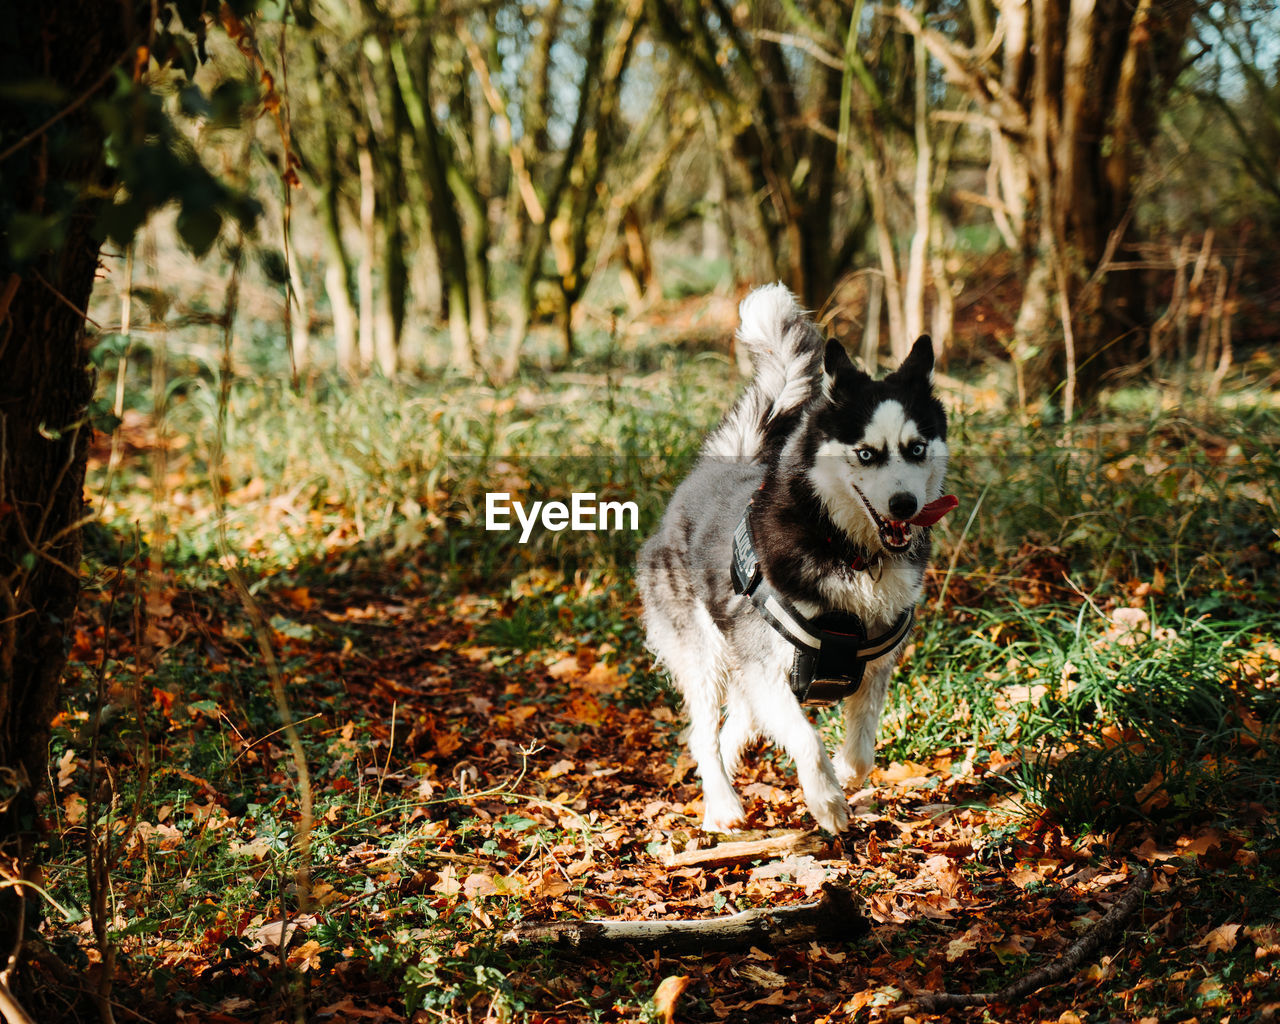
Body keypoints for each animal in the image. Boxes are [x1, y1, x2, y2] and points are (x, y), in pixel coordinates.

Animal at [640, 284, 952, 834]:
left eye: (916, 448)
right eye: (866, 454)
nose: (904, 505)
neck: (847, 551)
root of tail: (720, 466)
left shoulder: (874, 666)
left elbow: (863, 748)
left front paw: (844, 773)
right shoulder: (768, 668)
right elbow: (806, 737)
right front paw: (826, 799)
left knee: (734, 727)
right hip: (707, 657)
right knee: (703, 731)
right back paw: (723, 803)